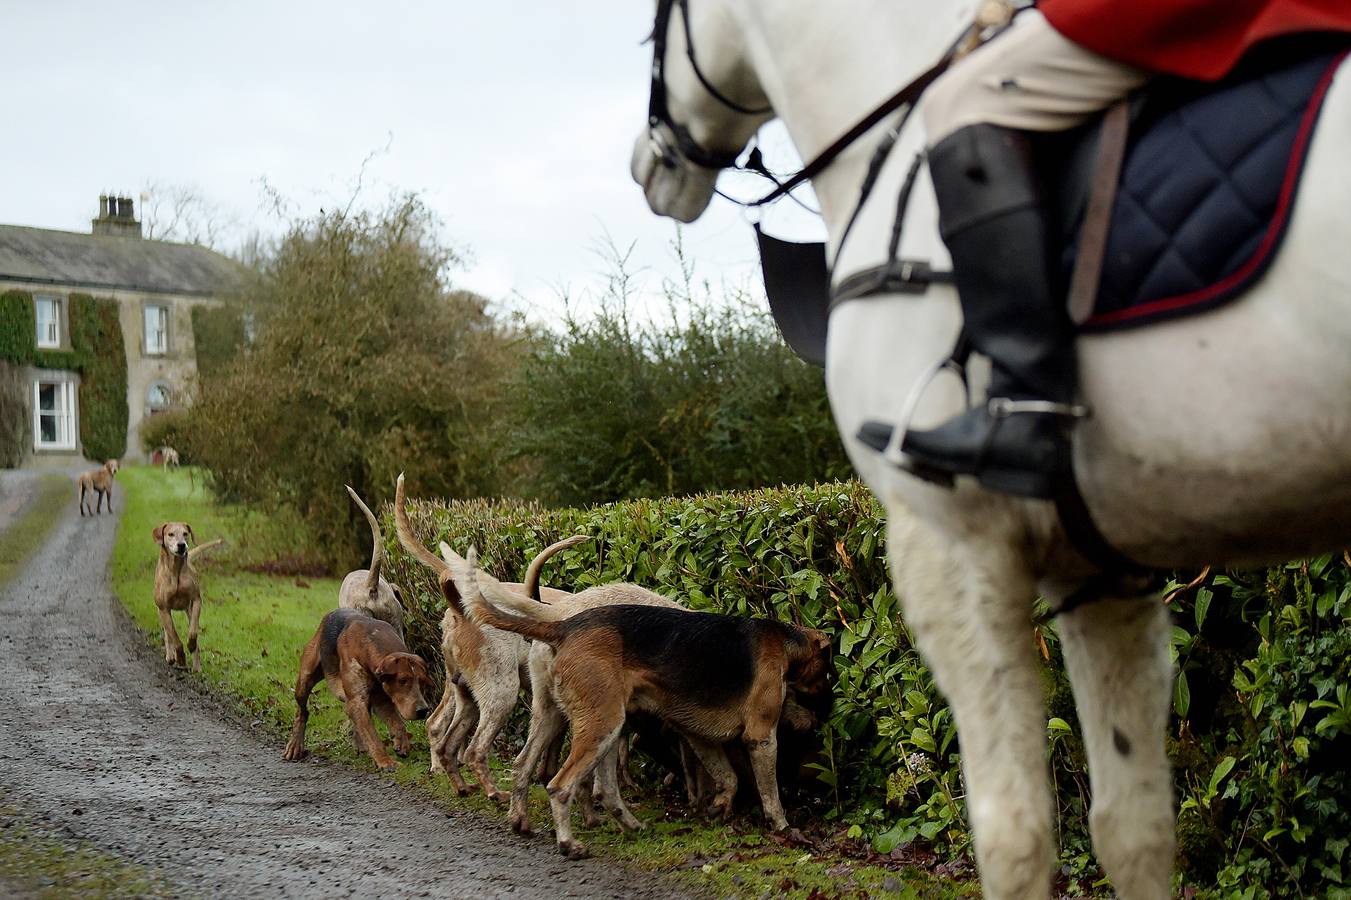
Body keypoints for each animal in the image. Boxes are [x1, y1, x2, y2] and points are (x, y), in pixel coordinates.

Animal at [628, 2, 1351, 897]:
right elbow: (1132, 827)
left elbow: (1012, 833)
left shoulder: (949, 546)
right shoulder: (1101, 575)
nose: (645, 167)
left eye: (646, 34)